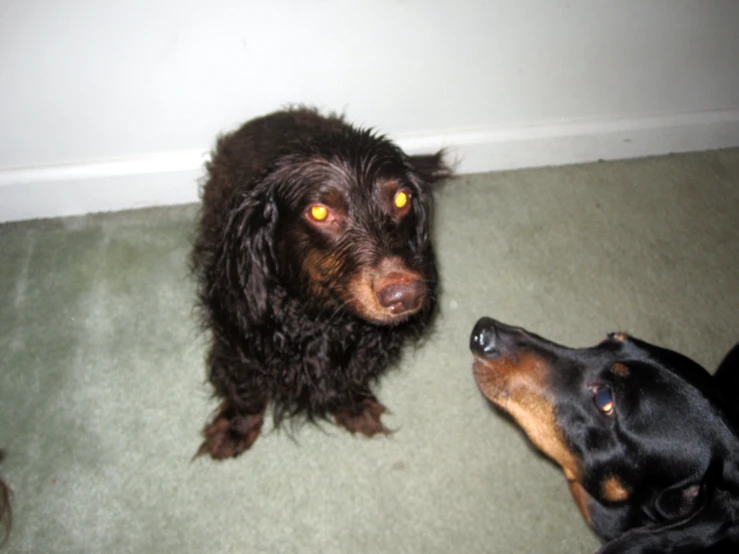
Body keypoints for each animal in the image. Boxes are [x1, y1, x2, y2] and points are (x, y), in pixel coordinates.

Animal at [191, 106, 450, 458]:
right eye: (318, 211)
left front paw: (353, 407)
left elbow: (348, 380)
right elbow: (245, 392)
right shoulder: (236, 343)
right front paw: (235, 428)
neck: (324, 321)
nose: (406, 295)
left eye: (401, 199)